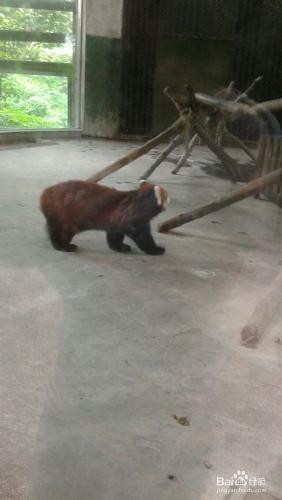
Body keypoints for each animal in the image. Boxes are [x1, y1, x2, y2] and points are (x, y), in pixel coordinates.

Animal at [38, 181, 169, 256]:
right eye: (167, 196)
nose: (170, 200)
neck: (141, 200)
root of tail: (44, 193)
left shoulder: (116, 221)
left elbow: (114, 235)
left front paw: (120, 247)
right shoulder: (134, 218)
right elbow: (142, 236)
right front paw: (156, 249)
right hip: (64, 215)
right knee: (61, 231)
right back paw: (64, 246)